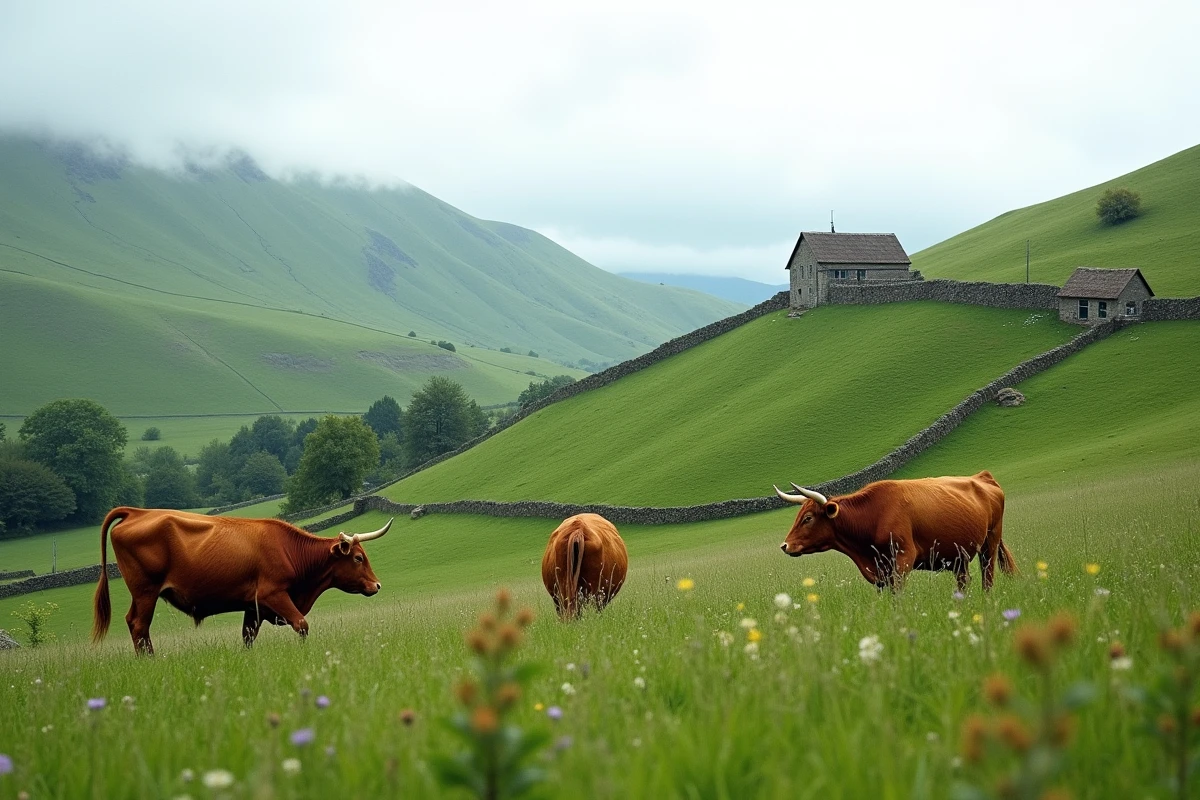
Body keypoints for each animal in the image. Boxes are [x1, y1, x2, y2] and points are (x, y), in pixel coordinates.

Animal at [91, 507, 393, 653]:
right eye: (358, 558)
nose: (377, 585)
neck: (288, 549)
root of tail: (137, 512)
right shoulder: (274, 595)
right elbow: (302, 625)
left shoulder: (253, 607)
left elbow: (248, 638)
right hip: (146, 592)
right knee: (139, 626)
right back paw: (150, 661)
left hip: (142, 594)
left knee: (134, 624)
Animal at [774, 471, 1015, 592]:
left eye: (808, 518)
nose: (785, 546)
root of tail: (983, 476)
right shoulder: (881, 571)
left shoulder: (903, 558)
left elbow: (898, 594)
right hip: (959, 557)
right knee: (964, 582)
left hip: (990, 543)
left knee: (987, 578)